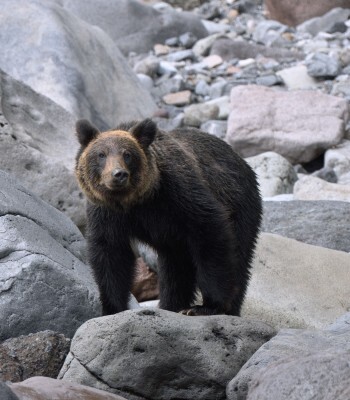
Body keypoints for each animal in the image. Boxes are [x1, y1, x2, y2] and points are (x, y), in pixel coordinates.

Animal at [76, 119, 262, 316]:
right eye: (101, 154)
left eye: (127, 154)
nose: (119, 174)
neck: (135, 201)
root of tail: (241, 160)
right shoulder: (106, 214)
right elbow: (110, 254)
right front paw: (112, 308)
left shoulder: (178, 194)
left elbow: (210, 231)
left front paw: (209, 305)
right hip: (174, 239)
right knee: (175, 268)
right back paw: (171, 305)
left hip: (241, 204)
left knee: (240, 255)